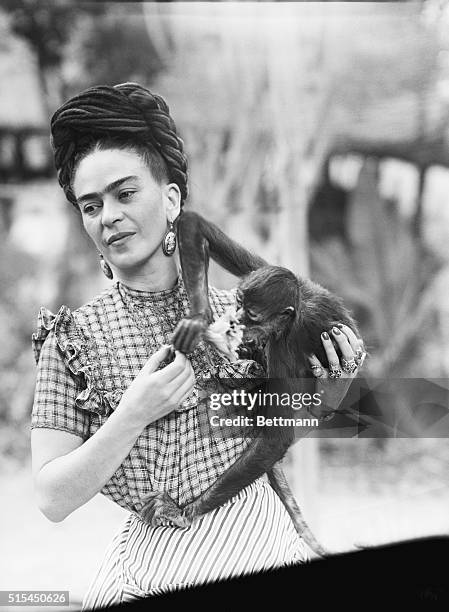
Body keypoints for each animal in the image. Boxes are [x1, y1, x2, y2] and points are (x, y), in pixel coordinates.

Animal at [140, 212, 360, 560]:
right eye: (240, 303)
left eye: (252, 315)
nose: (237, 319)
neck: (298, 310)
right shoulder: (288, 277)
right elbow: (193, 224)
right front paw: (199, 318)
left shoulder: (286, 342)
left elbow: (275, 438)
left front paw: (181, 512)